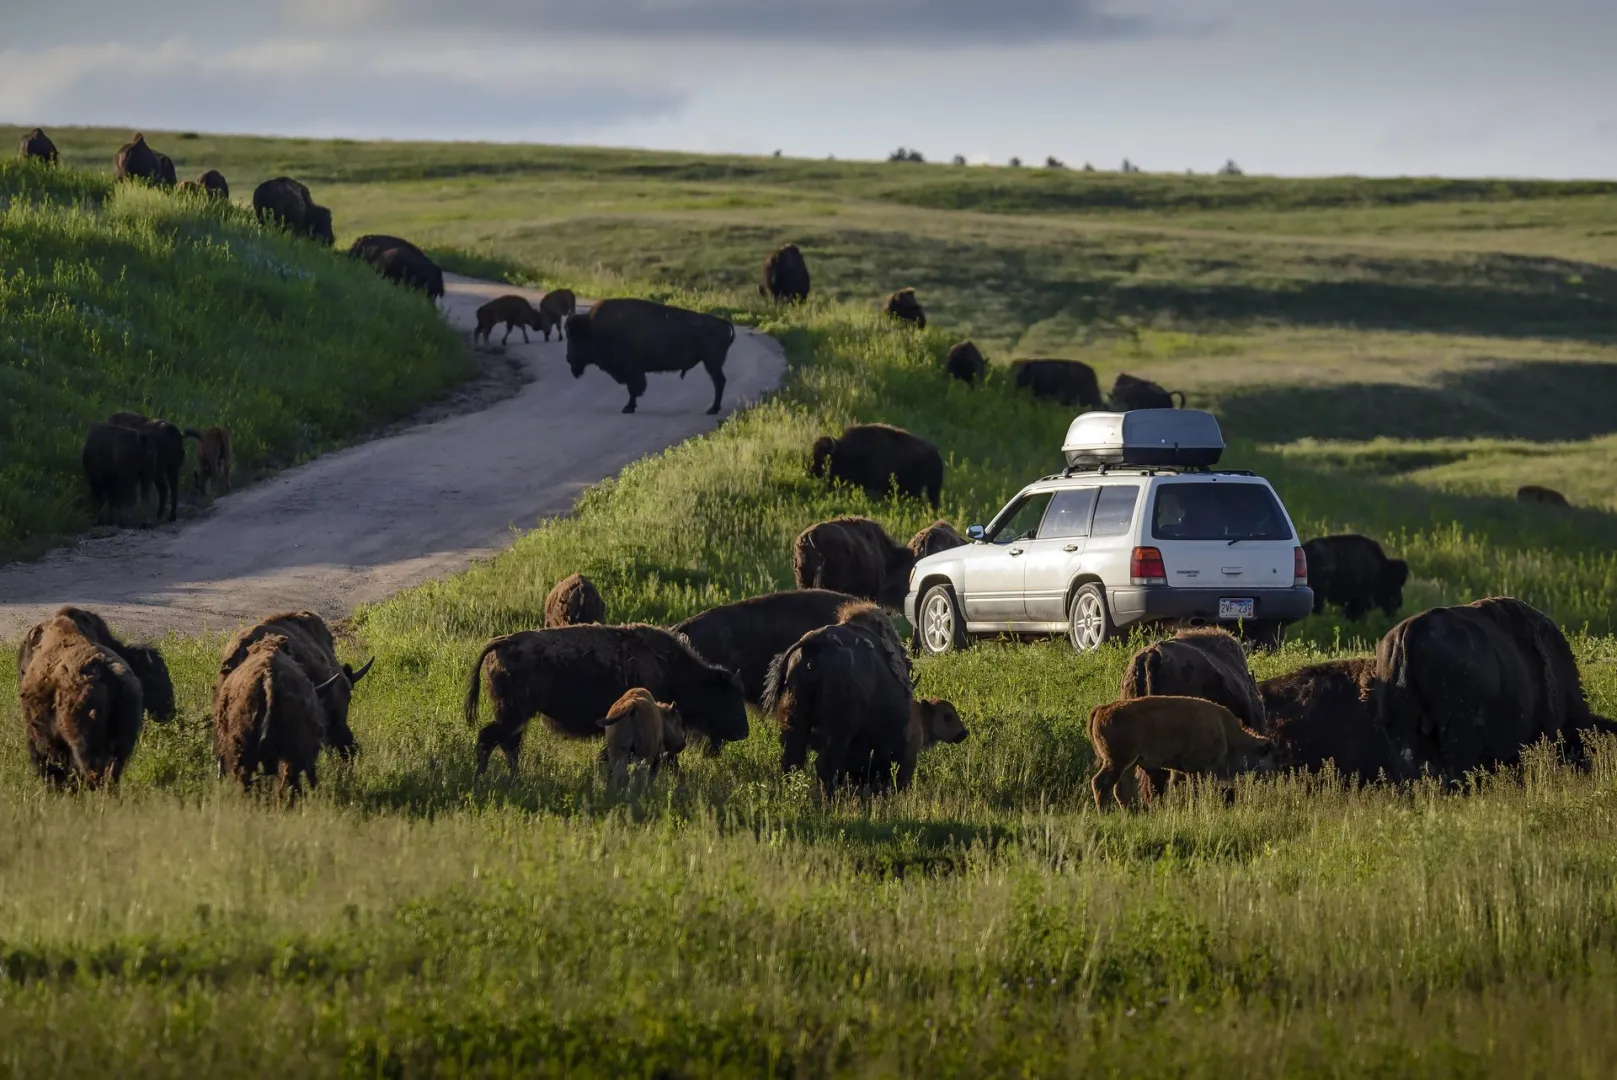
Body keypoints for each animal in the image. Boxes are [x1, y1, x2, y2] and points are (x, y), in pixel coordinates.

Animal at [463, 623, 748, 774]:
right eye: (730, 698)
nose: (744, 731)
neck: (672, 669)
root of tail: (501, 643)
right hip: (513, 714)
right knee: (491, 739)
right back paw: (484, 777)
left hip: (515, 717)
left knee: (507, 744)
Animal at [565, 298, 736, 415]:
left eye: (575, 338)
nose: (568, 358)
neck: (593, 328)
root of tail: (724, 323)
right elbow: (633, 389)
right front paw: (630, 406)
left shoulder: (632, 371)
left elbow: (633, 389)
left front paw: (628, 407)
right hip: (712, 363)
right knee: (719, 382)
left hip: (711, 363)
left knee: (719, 382)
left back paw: (712, 409)